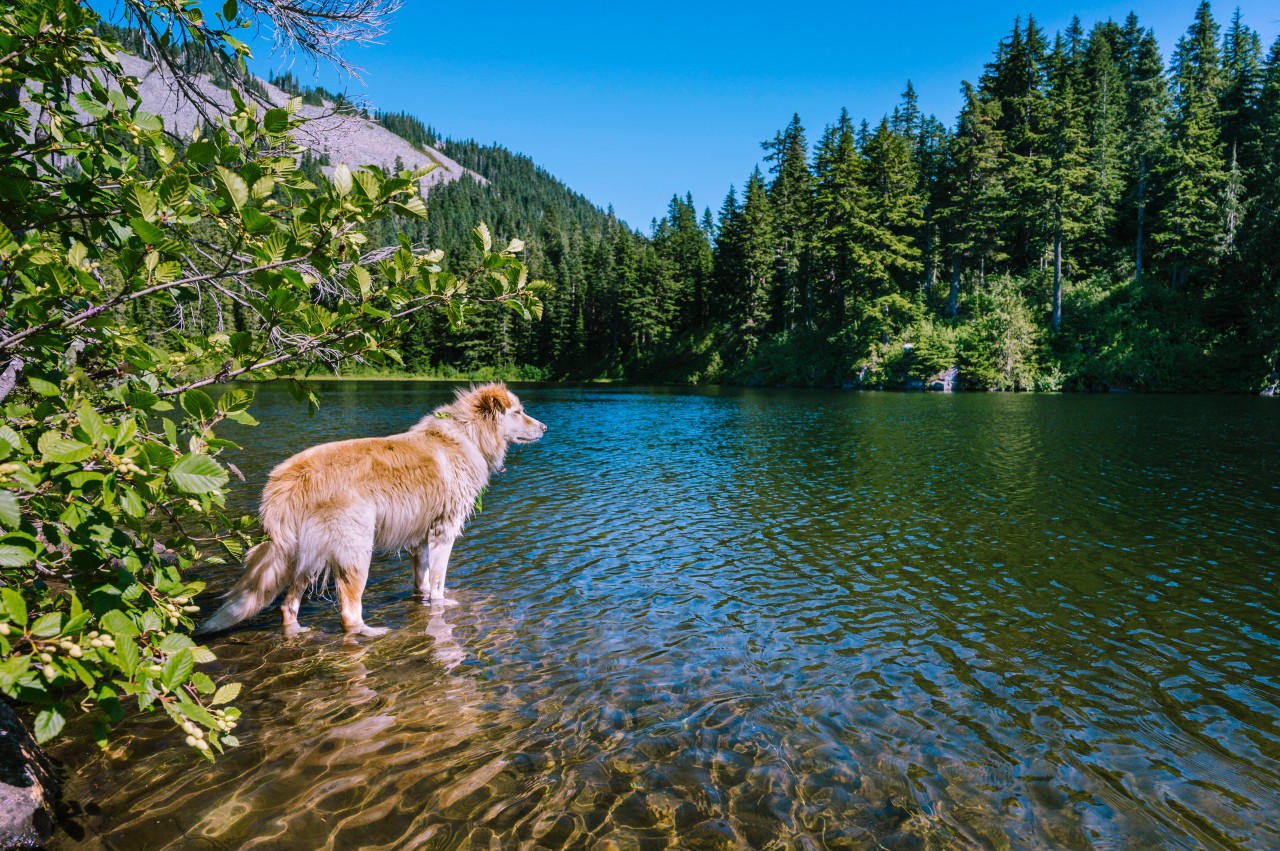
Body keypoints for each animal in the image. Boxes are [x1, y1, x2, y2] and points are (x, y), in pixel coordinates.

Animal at [198, 381, 545, 634]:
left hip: (304, 556)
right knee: (349, 613)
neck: (467, 434)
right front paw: (442, 606)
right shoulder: (442, 533)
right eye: (518, 411)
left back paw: (296, 631)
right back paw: (371, 633)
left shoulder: (420, 540)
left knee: (288, 605)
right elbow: (438, 584)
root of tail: (291, 476)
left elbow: (421, 583)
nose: (543, 428)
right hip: (355, 551)